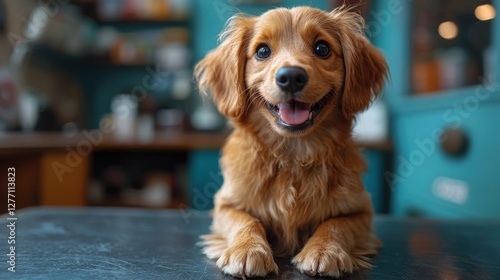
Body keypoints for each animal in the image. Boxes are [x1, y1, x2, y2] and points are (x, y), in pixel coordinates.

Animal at [194, 4, 386, 278]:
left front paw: (324, 250)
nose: (291, 76)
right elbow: (245, 220)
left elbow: (336, 223)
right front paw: (247, 249)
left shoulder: (362, 210)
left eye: (322, 48)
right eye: (262, 51)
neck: (293, 155)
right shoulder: (224, 204)